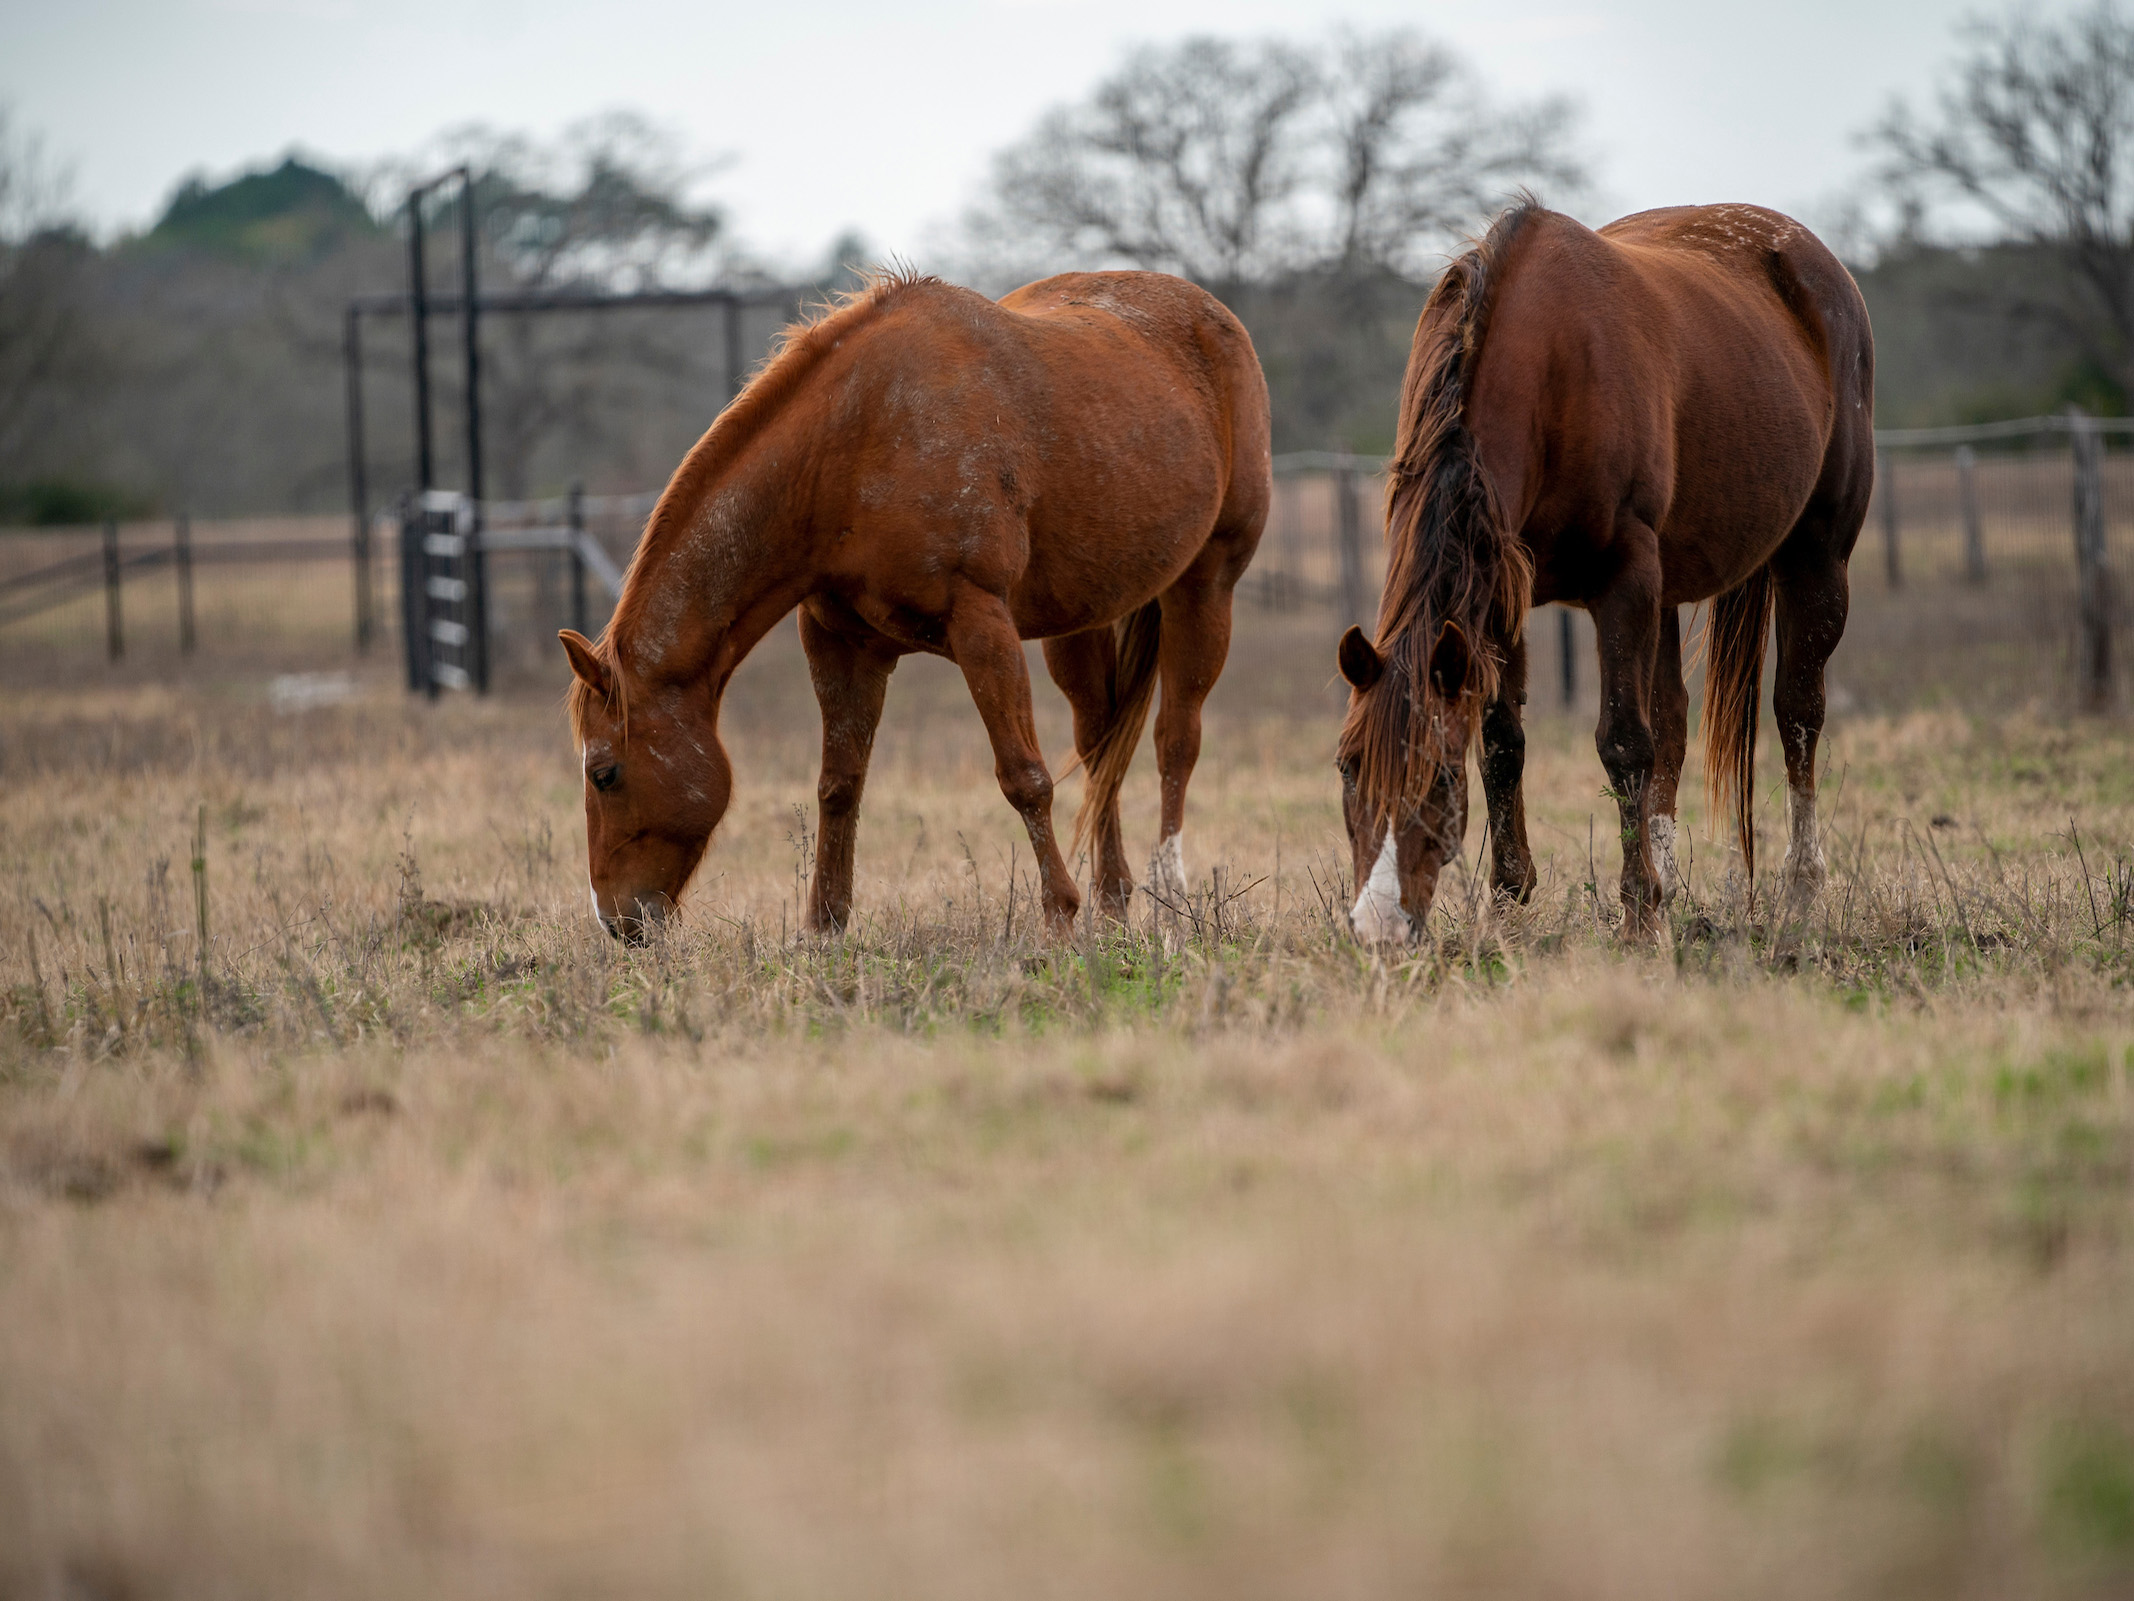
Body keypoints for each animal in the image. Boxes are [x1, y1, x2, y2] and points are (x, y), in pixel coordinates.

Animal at [559, 266, 1271, 939]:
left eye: (604, 773)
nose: (616, 920)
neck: (856, 441)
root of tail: (1212, 314)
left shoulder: (981, 624)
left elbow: (1025, 778)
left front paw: (1059, 920)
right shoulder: (842, 644)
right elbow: (840, 784)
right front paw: (824, 928)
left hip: (1206, 584)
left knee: (1175, 740)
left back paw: (1171, 898)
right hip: (1080, 623)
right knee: (1102, 750)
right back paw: (1117, 905)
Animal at [1340, 204, 1877, 947]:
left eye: (1440, 779)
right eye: (1347, 766)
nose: (1379, 927)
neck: (1550, 371)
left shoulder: (1624, 583)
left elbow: (1623, 743)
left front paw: (1638, 917)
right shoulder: (1501, 594)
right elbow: (1504, 744)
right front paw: (1507, 905)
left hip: (1816, 558)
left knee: (1798, 711)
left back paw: (1798, 895)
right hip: (1671, 587)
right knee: (1675, 723)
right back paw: (1671, 884)